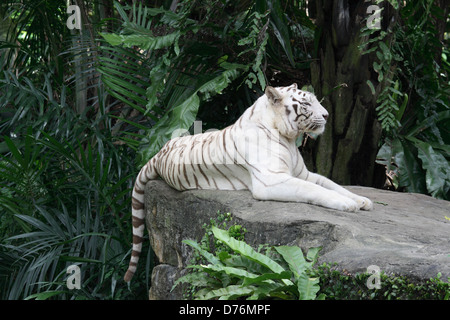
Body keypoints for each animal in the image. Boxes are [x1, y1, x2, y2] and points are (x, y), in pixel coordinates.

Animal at [124, 84, 372, 282]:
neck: (289, 139)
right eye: (306, 103)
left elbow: (331, 184)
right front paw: (347, 205)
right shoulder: (271, 180)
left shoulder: (304, 173)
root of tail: (159, 151)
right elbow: (314, 189)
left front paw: (362, 200)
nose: (328, 115)